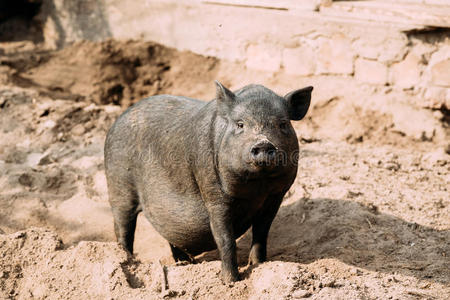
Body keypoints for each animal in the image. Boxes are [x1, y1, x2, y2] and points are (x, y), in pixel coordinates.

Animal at [103, 81, 312, 282]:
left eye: (283, 124)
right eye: (240, 124)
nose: (263, 143)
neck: (257, 187)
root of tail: (119, 119)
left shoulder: (276, 196)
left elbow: (262, 233)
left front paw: (259, 264)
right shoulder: (214, 194)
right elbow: (225, 239)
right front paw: (230, 282)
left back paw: (185, 264)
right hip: (118, 185)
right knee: (123, 228)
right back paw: (129, 261)